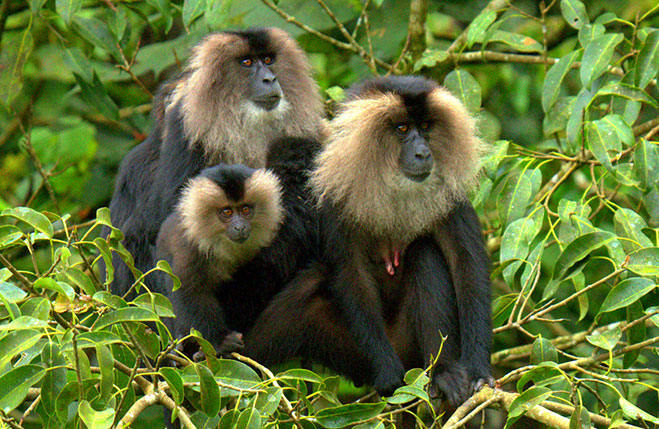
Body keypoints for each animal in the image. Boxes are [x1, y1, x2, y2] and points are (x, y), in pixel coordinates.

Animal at [244, 76, 493, 407]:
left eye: (426, 126)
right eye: (402, 129)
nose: (423, 152)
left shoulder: (451, 196)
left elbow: (467, 266)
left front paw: (478, 369)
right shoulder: (336, 195)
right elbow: (352, 276)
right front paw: (388, 374)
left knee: (424, 253)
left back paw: (443, 372)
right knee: (308, 287)